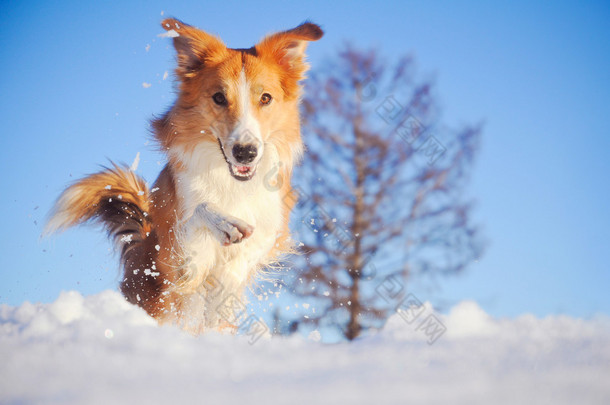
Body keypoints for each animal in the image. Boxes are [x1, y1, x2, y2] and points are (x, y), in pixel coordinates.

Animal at [46, 19, 324, 332]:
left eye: (266, 98)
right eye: (219, 97)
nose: (246, 152)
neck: (232, 184)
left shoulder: (271, 228)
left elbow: (239, 264)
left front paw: (226, 282)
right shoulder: (177, 253)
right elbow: (199, 213)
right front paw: (224, 224)